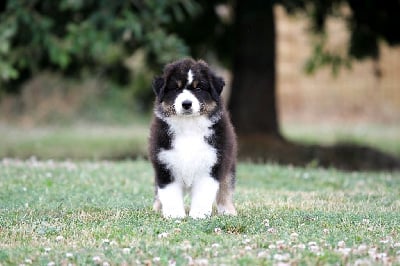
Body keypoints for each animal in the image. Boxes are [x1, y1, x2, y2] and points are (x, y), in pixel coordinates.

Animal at [150, 58, 238, 218]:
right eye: (176, 88)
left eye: (198, 89)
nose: (186, 104)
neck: (189, 127)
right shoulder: (165, 164)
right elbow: (169, 193)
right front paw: (175, 216)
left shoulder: (212, 163)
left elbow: (204, 194)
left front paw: (198, 215)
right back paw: (157, 208)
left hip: (228, 164)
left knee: (226, 187)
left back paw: (228, 210)